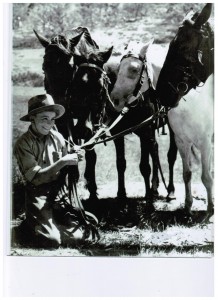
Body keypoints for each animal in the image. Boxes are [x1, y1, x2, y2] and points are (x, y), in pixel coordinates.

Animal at [34, 27, 113, 203]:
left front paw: (92, 190)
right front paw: (70, 178)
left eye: (71, 66)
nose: (60, 101)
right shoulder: (65, 118)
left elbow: (89, 148)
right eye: (44, 66)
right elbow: (68, 142)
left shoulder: (93, 116)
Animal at [156, 3, 214, 217]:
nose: (161, 93)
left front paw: (210, 209)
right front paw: (188, 206)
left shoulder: (205, 142)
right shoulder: (182, 141)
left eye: (182, 45)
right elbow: (187, 174)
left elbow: (206, 176)